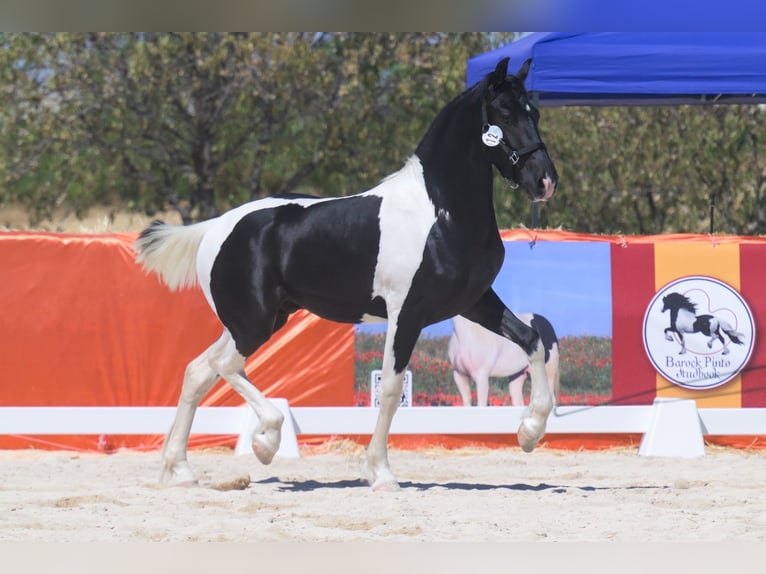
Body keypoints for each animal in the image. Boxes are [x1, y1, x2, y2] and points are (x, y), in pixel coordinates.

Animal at [134, 57, 558, 491]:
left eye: (535, 112)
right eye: (504, 113)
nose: (544, 181)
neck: (441, 213)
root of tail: (215, 227)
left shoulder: (474, 301)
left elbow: (532, 341)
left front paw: (529, 434)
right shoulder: (406, 313)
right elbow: (390, 388)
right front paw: (381, 473)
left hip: (259, 321)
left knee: (199, 371)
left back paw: (181, 469)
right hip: (252, 324)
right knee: (223, 366)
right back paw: (264, 441)